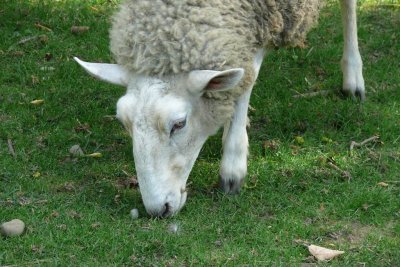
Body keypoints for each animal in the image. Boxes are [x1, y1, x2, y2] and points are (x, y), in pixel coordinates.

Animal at [75, 0, 366, 218]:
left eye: (179, 123)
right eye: (124, 122)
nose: (159, 209)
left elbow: (246, 78)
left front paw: (232, 167)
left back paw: (353, 76)